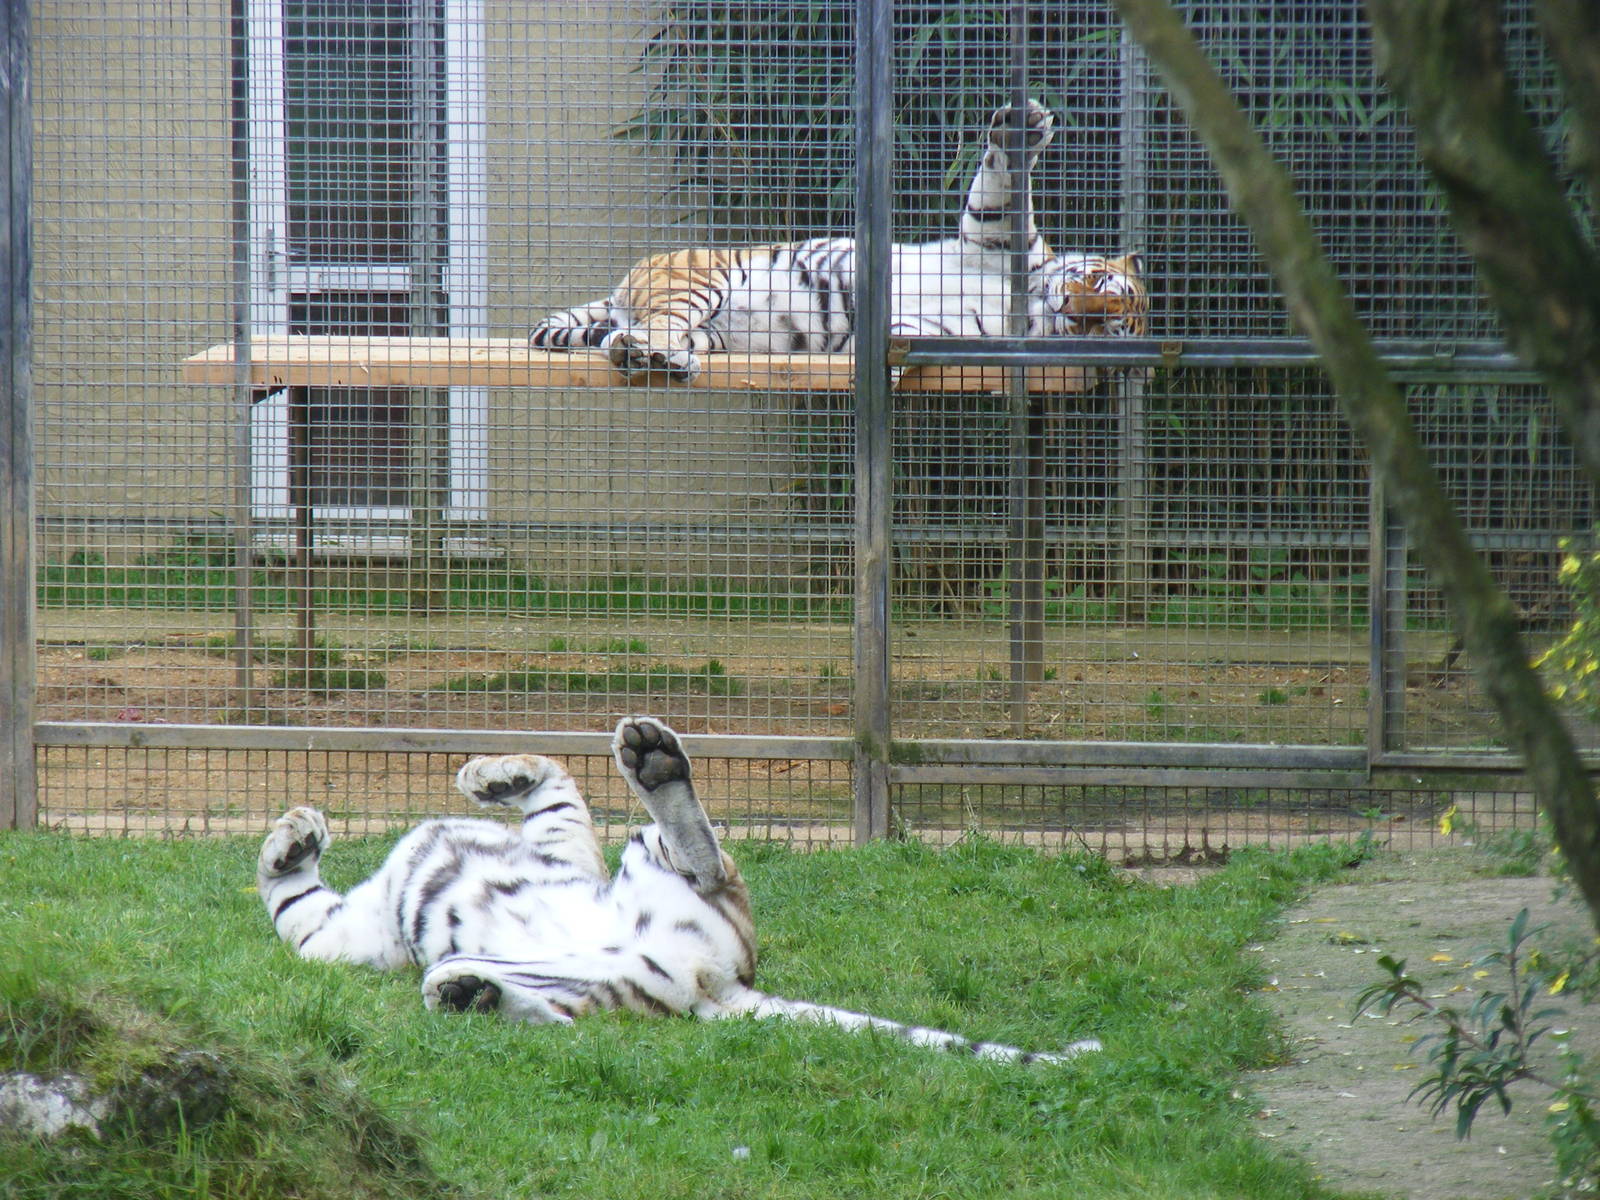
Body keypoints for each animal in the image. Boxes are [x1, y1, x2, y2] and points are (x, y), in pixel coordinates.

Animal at [256, 715, 1102, 1066]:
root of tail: (723, 982)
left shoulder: (563, 844)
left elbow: (555, 786)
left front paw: (487, 773)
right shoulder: (347, 935)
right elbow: (294, 906)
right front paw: (293, 838)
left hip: (646, 864)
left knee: (707, 858)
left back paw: (652, 757)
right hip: (608, 975)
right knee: (559, 1011)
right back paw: (468, 991)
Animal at [529, 101, 1147, 382]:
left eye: (1108, 329)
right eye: (1097, 282)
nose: (1075, 310)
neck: (1036, 306)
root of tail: (621, 289)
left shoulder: (930, 332)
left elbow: (896, 345)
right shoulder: (991, 240)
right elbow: (1003, 191)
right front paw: (1021, 133)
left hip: (716, 336)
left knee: (635, 338)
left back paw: (654, 357)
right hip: (699, 281)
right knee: (656, 323)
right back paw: (650, 352)